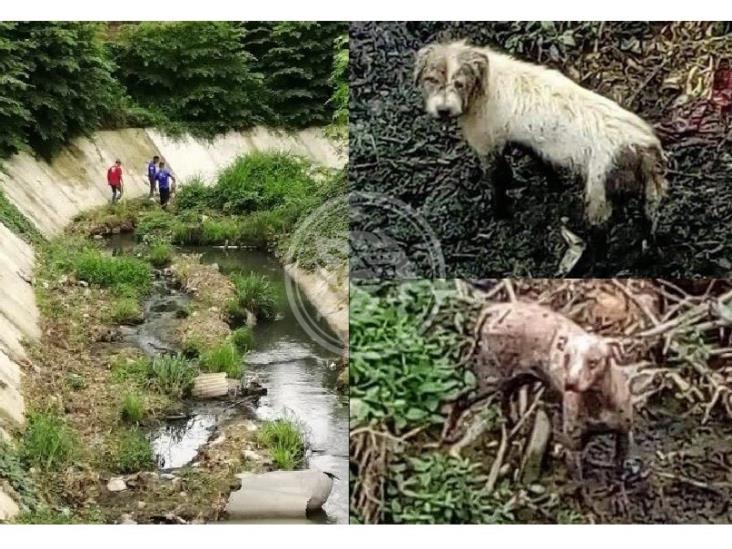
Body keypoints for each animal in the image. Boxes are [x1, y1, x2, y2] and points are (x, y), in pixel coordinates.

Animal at [414, 40, 668, 255]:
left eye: (459, 84)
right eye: (431, 80)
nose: (443, 110)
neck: (484, 84)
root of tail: (643, 148)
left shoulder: (487, 144)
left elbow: (498, 180)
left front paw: (499, 213)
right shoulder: (526, 138)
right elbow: (539, 160)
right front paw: (554, 184)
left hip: (598, 194)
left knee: (601, 237)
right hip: (650, 195)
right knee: (648, 228)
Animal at [446, 302, 636, 478]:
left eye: (593, 362)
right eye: (567, 357)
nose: (570, 382)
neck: (597, 401)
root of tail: (495, 309)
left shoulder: (623, 434)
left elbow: (619, 466)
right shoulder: (572, 446)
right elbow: (580, 484)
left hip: (518, 377)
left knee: (504, 396)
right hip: (490, 378)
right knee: (463, 399)